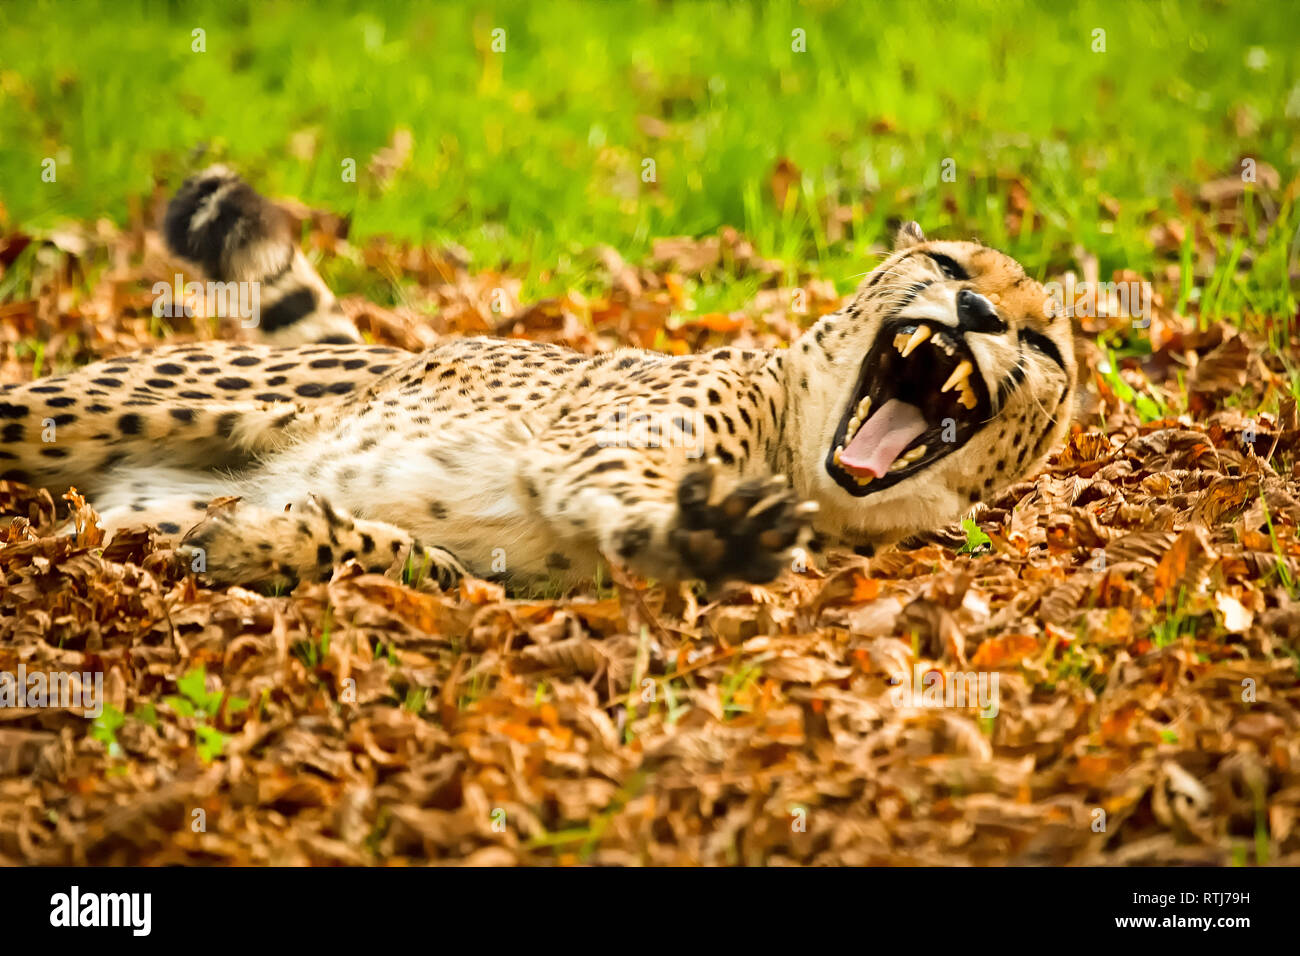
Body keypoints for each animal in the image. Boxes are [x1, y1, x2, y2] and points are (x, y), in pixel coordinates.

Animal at [0, 171, 1076, 590]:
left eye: (1043, 343)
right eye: (948, 263)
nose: (978, 315)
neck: (805, 464)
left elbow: (422, 560)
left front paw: (272, 540)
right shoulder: (598, 451)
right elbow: (631, 489)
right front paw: (713, 534)